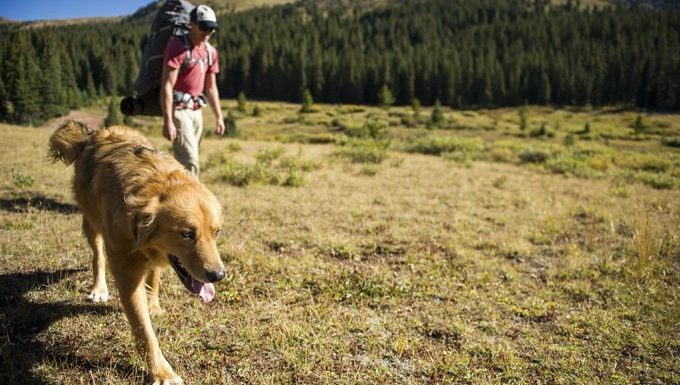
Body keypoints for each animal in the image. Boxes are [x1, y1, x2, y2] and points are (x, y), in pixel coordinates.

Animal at [51, 121, 226, 384]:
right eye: (187, 234)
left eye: (216, 232)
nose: (218, 275)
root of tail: (97, 133)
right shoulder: (127, 273)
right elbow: (144, 330)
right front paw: (162, 372)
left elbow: (153, 280)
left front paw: (153, 305)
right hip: (91, 222)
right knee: (98, 256)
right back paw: (99, 289)